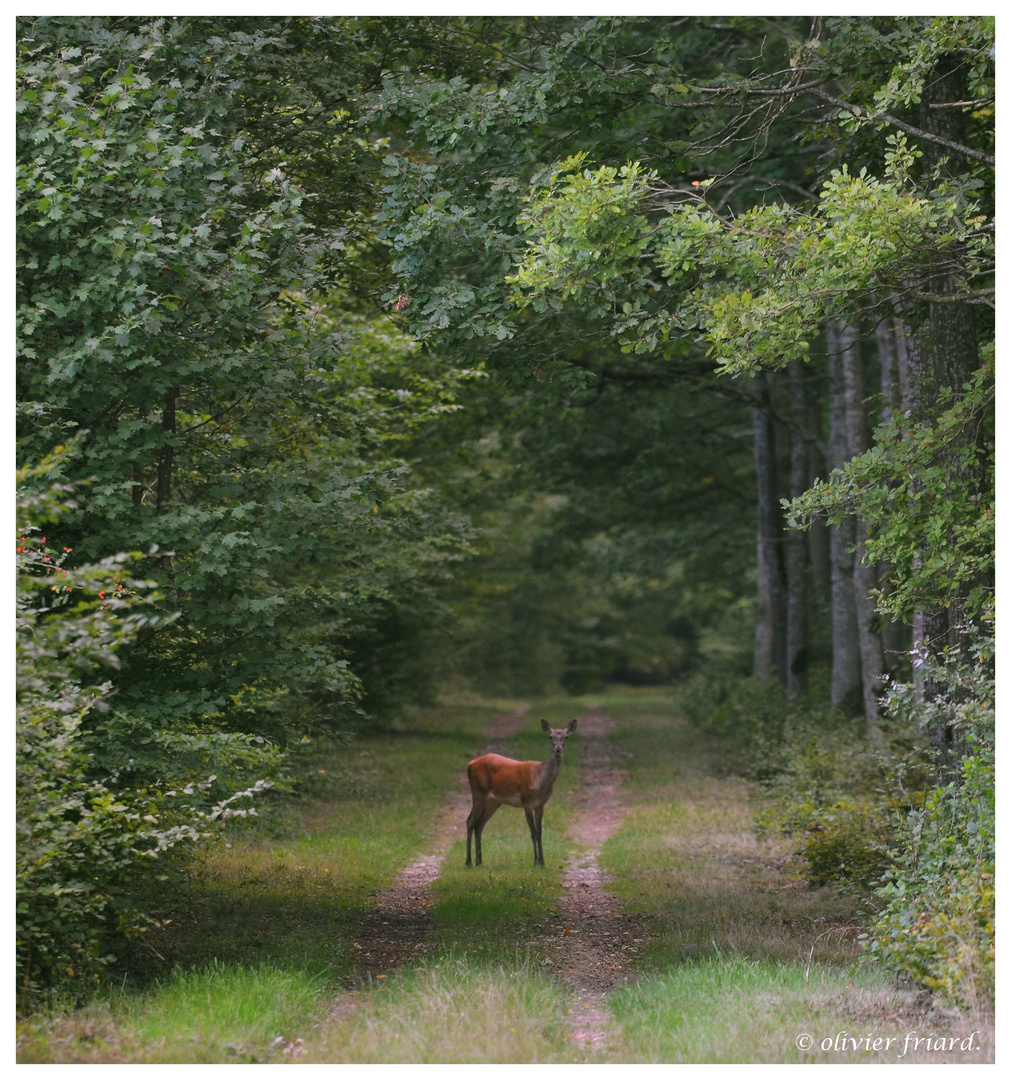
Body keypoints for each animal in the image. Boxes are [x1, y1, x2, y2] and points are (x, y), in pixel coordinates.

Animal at [466, 717, 574, 868]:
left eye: (566, 737)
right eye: (550, 736)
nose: (558, 748)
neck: (540, 779)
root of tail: (470, 764)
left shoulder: (541, 804)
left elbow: (540, 832)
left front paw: (543, 862)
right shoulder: (526, 800)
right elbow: (533, 832)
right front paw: (536, 862)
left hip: (494, 800)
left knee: (479, 824)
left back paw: (479, 862)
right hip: (478, 792)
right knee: (470, 821)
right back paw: (468, 862)